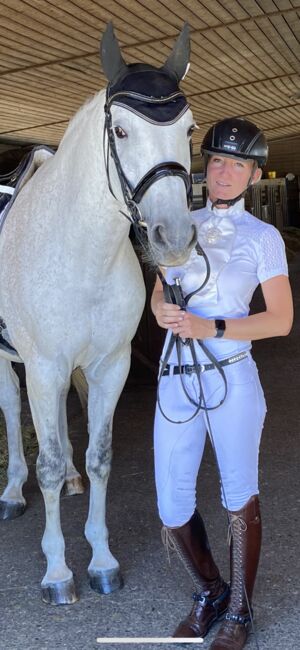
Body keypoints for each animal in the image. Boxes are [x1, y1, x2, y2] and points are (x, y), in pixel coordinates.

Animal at [0, 24, 196, 604]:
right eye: (123, 131)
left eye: (190, 129)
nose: (175, 239)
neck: (80, 252)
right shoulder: (42, 368)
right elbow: (45, 463)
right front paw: (58, 571)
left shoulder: (110, 366)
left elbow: (99, 456)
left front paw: (102, 560)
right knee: (11, 408)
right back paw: (12, 491)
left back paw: (69, 482)